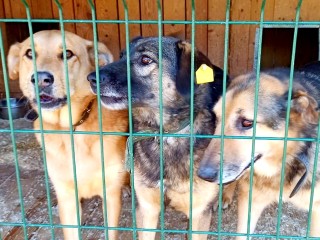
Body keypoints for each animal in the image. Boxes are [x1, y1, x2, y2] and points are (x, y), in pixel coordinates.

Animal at [7, 30, 129, 240]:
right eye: (29, 54)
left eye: (67, 54)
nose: (41, 78)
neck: (72, 128)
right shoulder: (67, 197)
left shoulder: (111, 195)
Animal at [86, 36, 229, 239]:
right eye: (121, 56)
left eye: (146, 60)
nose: (91, 78)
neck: (166, 134)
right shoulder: (147, 208)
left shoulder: (199, 212)